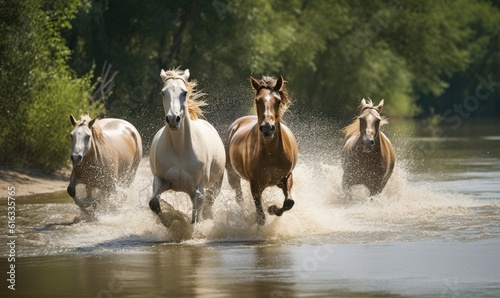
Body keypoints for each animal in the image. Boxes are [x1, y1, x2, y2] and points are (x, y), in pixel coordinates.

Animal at [147, 67, 226, 226]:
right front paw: (169, 223)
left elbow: (195, 217)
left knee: (208, 203)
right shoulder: (161, 179)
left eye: (184, 92)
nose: (173, 119)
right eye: (163, 92)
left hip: (216, 184)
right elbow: (154, 203)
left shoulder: (198, 189)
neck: (180, 149)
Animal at [226, 75, 296, 225]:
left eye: (278, 100)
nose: (267, 128)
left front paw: (272, 209)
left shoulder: (287, 177)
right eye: (257, 100)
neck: (271, 154)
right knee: (239, 197)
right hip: (233, 175)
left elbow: (289, 202)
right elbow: (260, 217)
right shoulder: (255, 183)